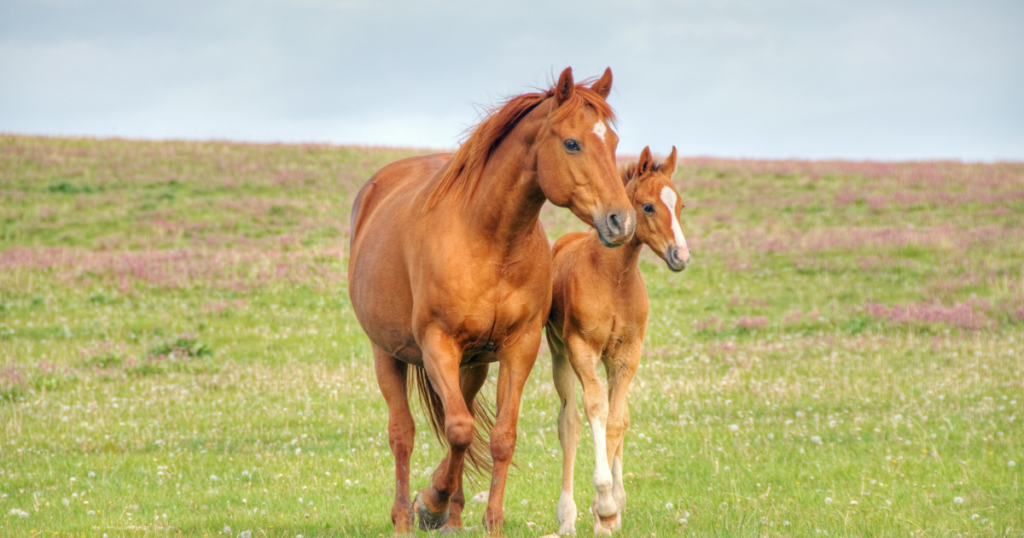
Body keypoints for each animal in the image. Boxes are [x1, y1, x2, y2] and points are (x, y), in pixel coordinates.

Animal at [348, 68, 634, 532]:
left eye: (613, 142)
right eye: (572, 143)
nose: (621, 221)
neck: (491, 240)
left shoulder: (519, 348)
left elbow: (499, 437)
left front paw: (489, 521)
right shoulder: (438, 344)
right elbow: (460, 430)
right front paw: (431, 501)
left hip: (472, 366)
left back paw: (452, 516)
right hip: (386, 354)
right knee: (403, 434)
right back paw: (406, 516)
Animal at [544, 144, 688, 532]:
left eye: (681, 205)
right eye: (648, 206)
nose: (680, 256)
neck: (613, 277)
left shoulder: (627, 355)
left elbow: (618, 420)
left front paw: (608, 512)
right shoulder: (581, 348)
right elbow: (595, 409)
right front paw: (604, 504)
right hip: (559, 353)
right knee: (570, 423)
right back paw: (566, 518)